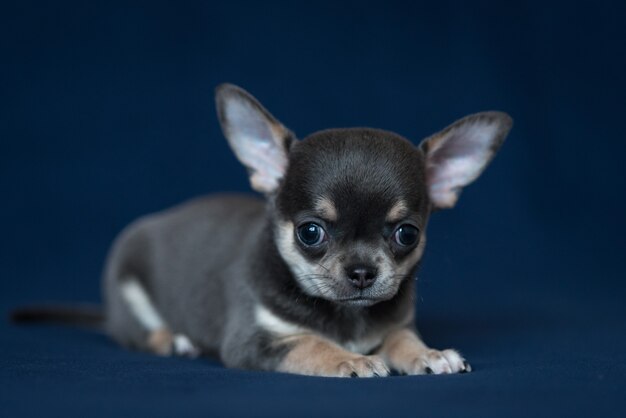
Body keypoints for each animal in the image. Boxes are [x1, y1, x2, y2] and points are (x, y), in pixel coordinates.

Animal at [17, 83, 510, 378]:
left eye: (406, 234)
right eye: (310, 233)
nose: (362, 272)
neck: (344, 316)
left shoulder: (395, 323)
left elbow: (400, 337)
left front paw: (427, 354)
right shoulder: (253, 342)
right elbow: (309, 343)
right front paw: (349, 358)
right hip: (128, 288)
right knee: (140, 335)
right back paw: (174, 341)